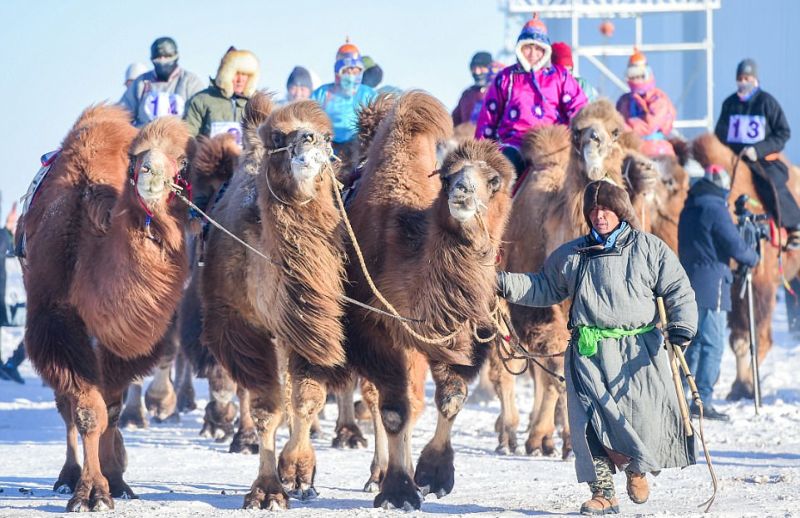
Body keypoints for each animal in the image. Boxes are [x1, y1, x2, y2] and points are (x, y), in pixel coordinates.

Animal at [18, 107, 194, 512]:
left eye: (182, 161)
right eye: (135, 157)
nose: (150, 173)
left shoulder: (122, 344)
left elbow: (110, 409)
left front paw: (115, 480)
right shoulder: (58, 323)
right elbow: (86, 411)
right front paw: (91, 492)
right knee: (65, 405)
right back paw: (67, 476)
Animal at [198, 93, 348, 512]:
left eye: (328, 136)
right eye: (279, 136)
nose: (308, 140)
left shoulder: (312, 324)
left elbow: (306, 398)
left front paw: (298, 472)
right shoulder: (242, 327)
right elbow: (267, 406)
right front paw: (267, 490)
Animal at [346, 91, 512, 510]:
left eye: (493, 180)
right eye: (449, 176)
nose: (461, 192)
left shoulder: (462, 333)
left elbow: (452, 398)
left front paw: (434, 475)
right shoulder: (375, 329)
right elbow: (393, 411)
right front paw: (399, 490)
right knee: (382, 399)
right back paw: (378, 474)